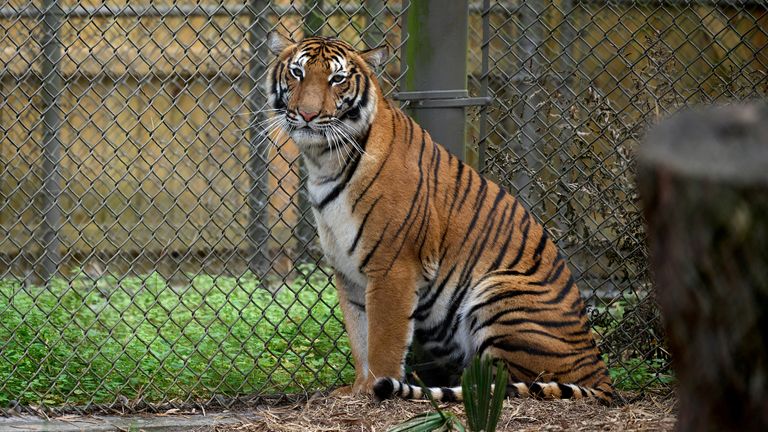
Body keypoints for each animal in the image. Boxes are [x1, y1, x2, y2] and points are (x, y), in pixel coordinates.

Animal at [264, 32, 614, 404]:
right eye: (298, 73)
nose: (307, 114)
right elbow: (359, 336)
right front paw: (358, 388)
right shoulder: (347, 272)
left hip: (498, 289)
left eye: (337, 79)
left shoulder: (393, 266)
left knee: (514, 383)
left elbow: (383, 340)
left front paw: (376, 387)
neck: (324, 160)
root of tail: (600, 370)